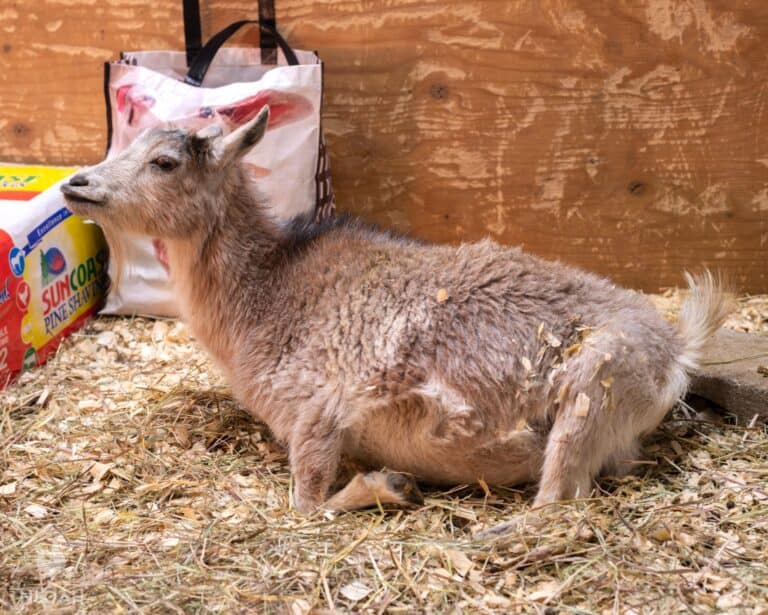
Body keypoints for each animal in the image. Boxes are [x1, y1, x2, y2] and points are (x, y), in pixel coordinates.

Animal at [62, 107, 731, 532]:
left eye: (164, 161)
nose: (76, 184)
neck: (271, 294)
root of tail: (677, 350)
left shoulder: (318, 411)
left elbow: (305, 506)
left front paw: (391, 486)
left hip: (596, 382)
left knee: (558, 500)